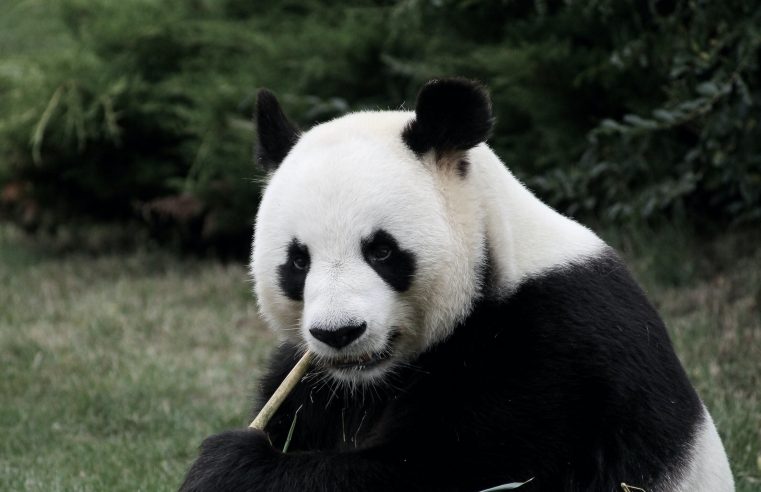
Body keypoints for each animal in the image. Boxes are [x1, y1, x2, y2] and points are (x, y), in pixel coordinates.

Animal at [180, 78, 734, 491]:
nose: (339, 333)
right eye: (298, 262)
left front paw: (229, 466)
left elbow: (445, 471)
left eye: (381, 251)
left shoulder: (553, 355)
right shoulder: (314, 381)